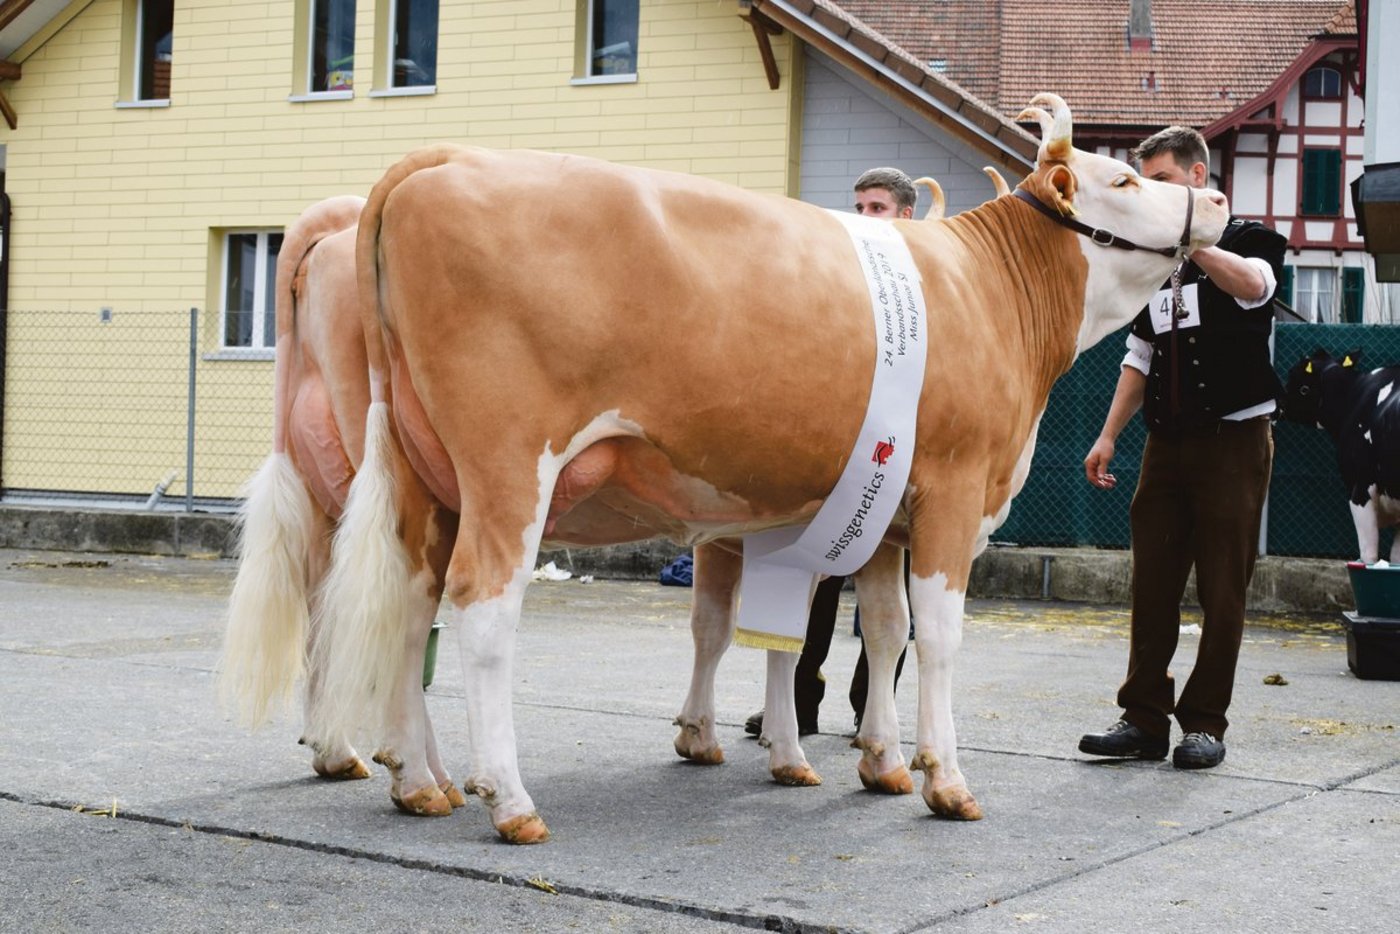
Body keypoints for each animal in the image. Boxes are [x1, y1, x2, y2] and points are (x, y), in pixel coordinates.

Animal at [220, 196, 467, 816]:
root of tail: (335, 224)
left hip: (323, 485)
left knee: (326, 601)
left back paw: (336, 753)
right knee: (396, 609)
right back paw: (424, 782)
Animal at [304, 93, 1228, 844]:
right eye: (1125, 179)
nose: (1219, 197)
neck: (987, 289)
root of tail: (441, 159)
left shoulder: (887, 515)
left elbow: (881, 631)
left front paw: (884, 762)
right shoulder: (955, 492)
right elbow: (936, 635)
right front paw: (948, 780)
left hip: (423, 478)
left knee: (408, 601)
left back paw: (420, 781)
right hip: (507, 467)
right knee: (483, 609)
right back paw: (508, 798)